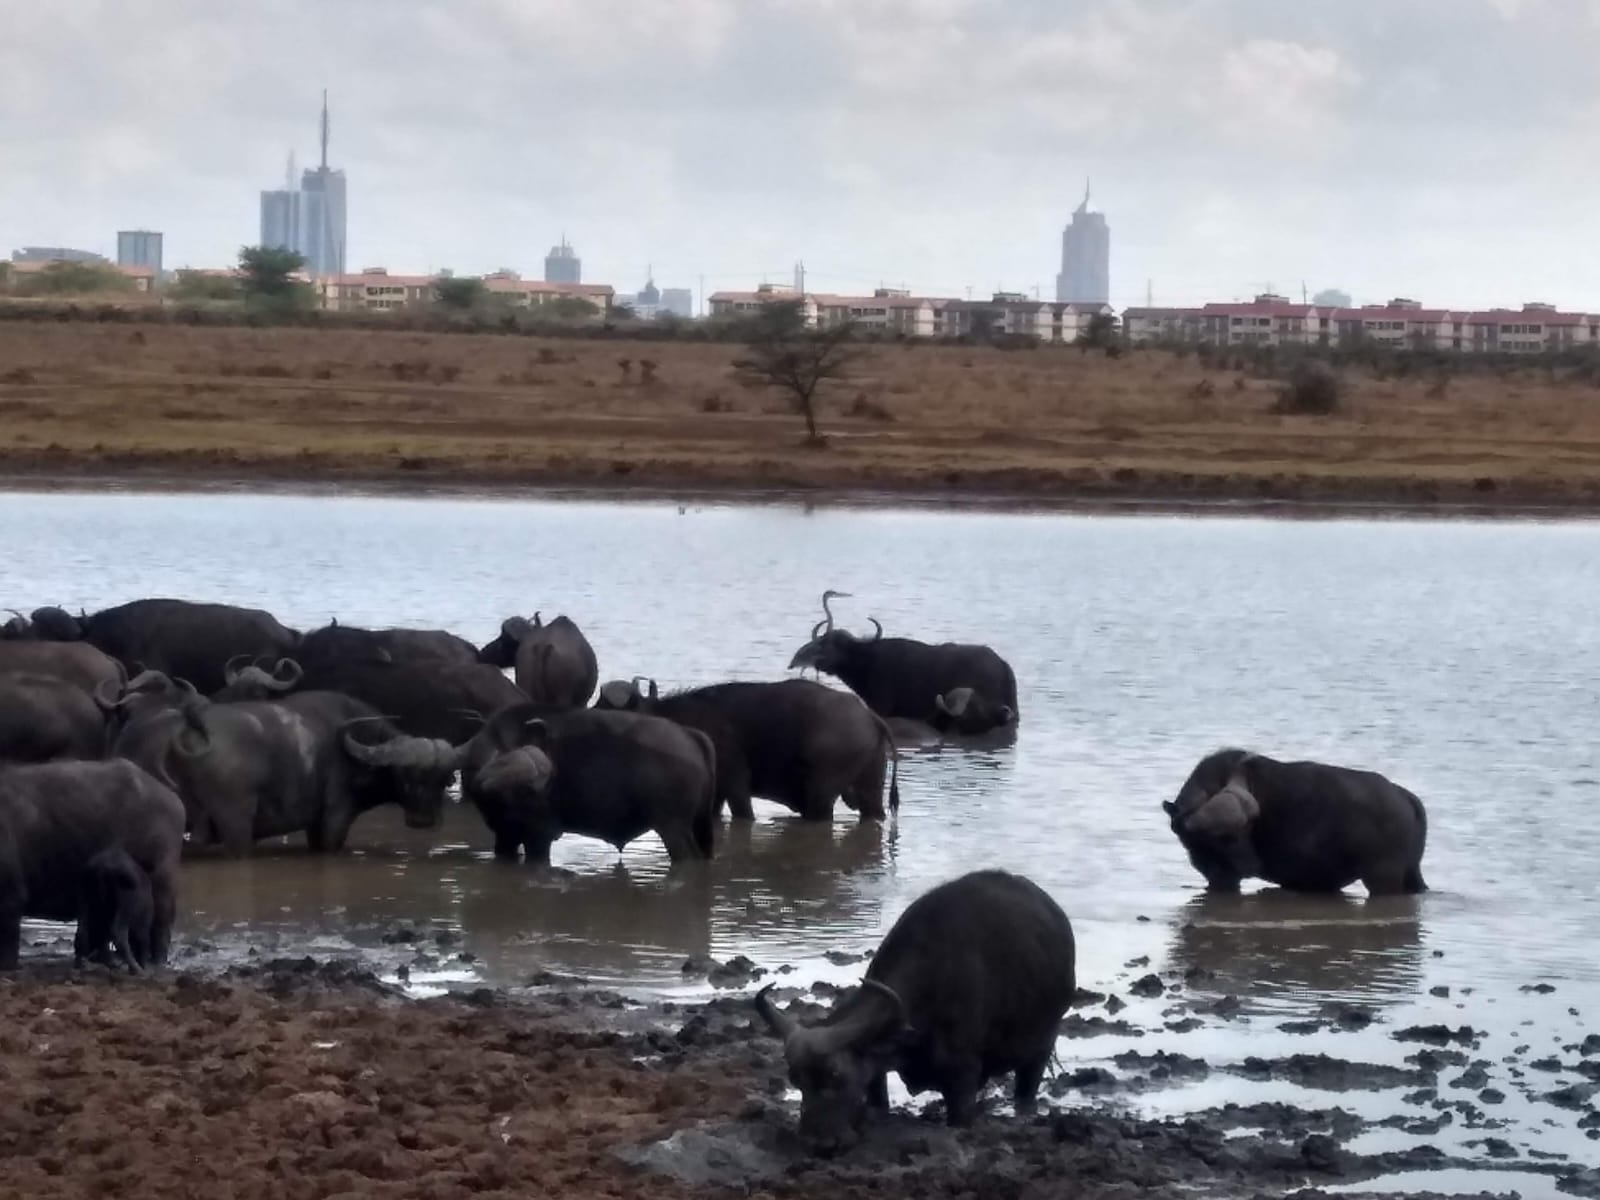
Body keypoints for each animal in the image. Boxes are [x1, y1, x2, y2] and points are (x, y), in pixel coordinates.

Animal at [748, 876, 1075, 1158]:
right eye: (796, 1079)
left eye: (836, 1076)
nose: (818, 1143)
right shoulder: (876, 1070)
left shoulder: (964, 1076)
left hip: (1041, 1047)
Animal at [790, 592, 1024, 732]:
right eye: (822, 642)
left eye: (840, 644)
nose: (818, 662)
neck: (868, 661)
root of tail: (1002, 665)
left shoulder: (882, 706)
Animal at [1158, 748, 1433, 896]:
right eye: (1192, 841)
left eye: (1235, 833)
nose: (1250, 863)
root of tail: (1403, 796)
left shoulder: (1225, 878)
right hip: (1411, 873)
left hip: (1383, 879)